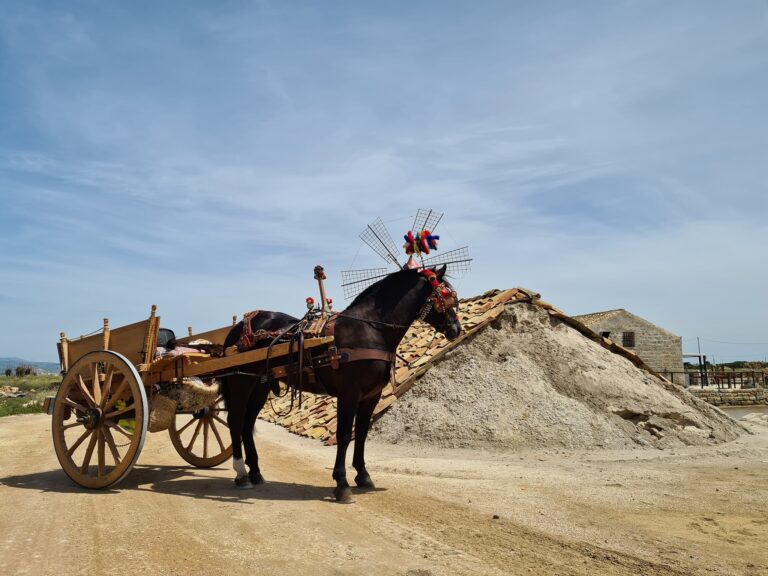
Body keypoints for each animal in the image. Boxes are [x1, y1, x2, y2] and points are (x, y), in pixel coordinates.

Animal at [219, 266, 464, 500]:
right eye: (446, 294)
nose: (456, 329)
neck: (371, 330)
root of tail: (238, 328)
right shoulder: (350, 393)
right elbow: (345, 434)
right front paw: (342, 483)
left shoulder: (371, 396)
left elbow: (362, 433)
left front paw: (363, 475)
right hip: (240, 382)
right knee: (235, 421)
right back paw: (241, 473)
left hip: (260, 386)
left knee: (247, 424)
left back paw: (255, 471)